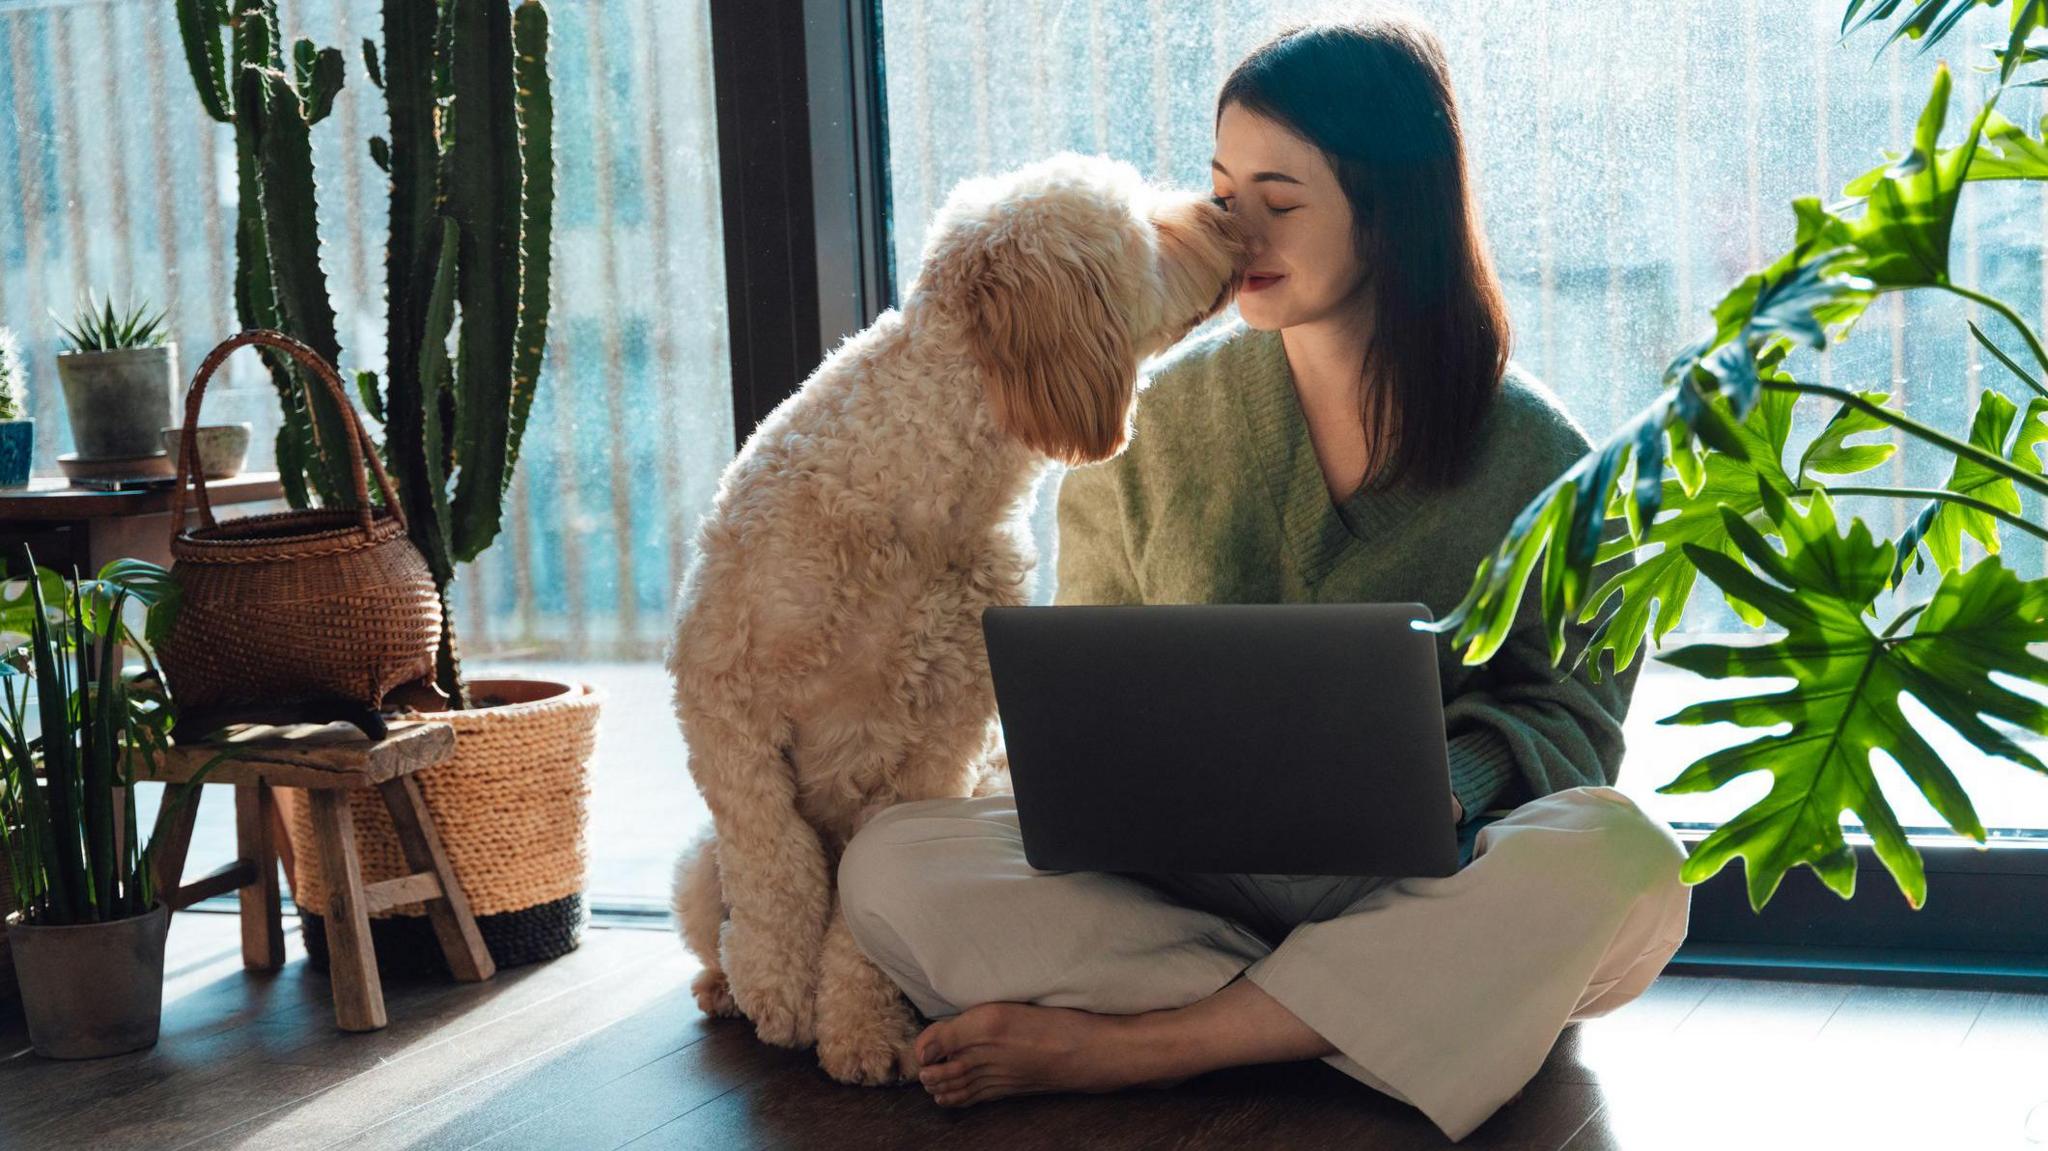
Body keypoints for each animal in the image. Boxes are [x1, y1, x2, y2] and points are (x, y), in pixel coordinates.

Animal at [671, 147, 1236, 1081]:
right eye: (1146, 224)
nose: (1228, 211)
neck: (913, 490)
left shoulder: (939, 741)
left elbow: (859, 900)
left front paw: (861, 1025)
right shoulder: (722, 701)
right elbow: (776, 858)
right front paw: (778, 986)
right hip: (692, 867)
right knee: (717, 904)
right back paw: (726, 982)